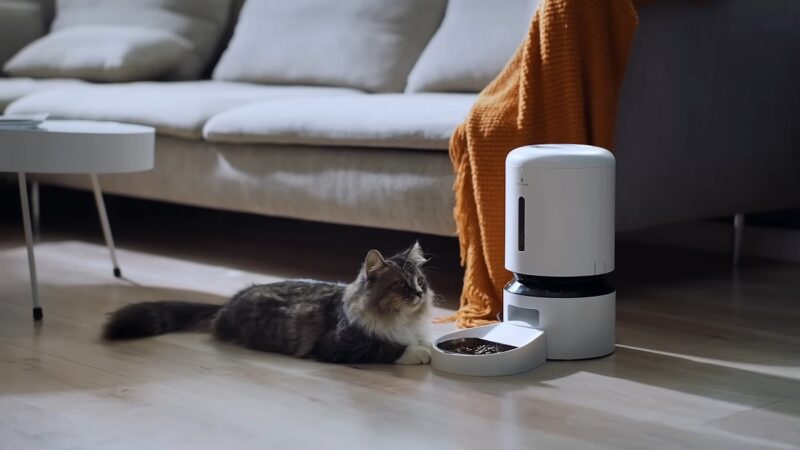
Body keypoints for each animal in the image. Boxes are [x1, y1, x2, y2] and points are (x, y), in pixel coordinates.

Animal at [104, 243, 438, 366]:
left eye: (421, 282)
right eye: (401, 284)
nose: (419, 295)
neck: (404, 319)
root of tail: (228, 302)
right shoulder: (340, 345)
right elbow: (387, 348)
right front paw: (419, 353)